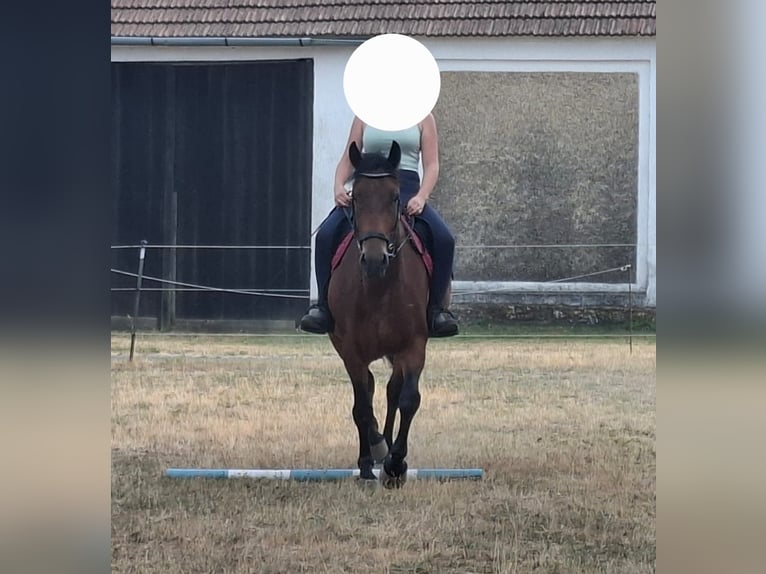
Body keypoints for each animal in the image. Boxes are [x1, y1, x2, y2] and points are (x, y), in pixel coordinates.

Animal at [327, 140, 430, 488]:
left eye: (395, 197)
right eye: (355, 197)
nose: (374, 260)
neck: (379, 289)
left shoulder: (413, 346)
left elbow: (409, 399)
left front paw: (396, 465)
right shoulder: (351, 351)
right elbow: (361, 406)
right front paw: (369, 461)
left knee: (392, 392)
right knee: (371, 391)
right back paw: (375, 450)